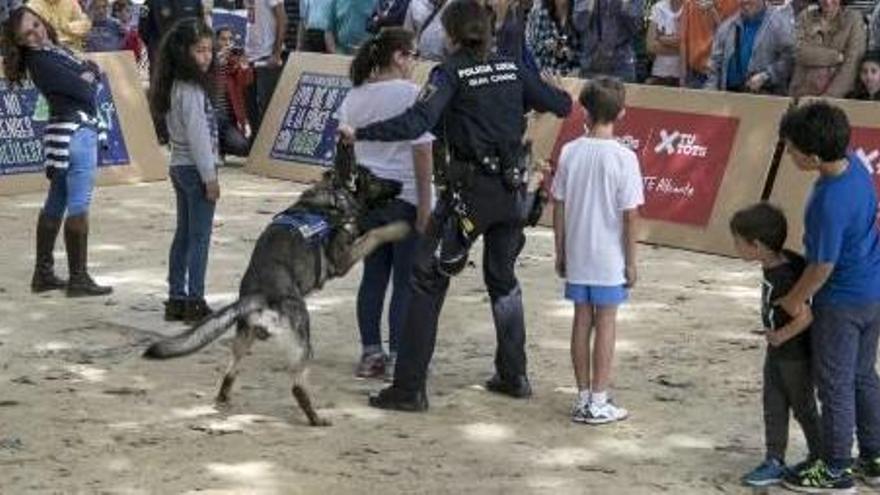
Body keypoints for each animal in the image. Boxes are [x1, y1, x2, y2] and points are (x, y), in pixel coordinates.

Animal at [144, 143, 410, 426]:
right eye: (375, 178)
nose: (401, 183)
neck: (336, 196)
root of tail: (259, 296)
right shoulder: (344, 260)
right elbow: (375, 234)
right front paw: (400, 228)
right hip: (303, 343)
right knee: (297, 387)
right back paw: (316, 418)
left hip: (244, 341)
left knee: (230, 371)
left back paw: (224, 397)